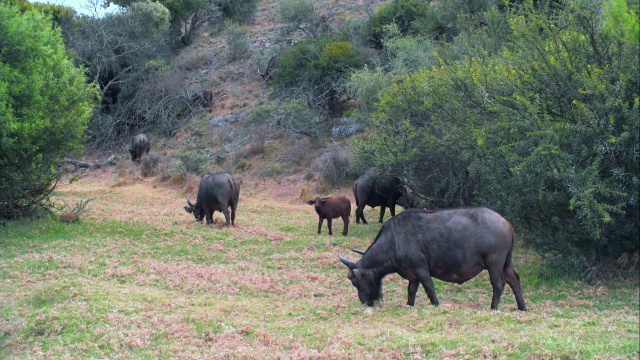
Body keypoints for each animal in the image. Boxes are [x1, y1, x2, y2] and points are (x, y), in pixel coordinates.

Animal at [340, 207, 524, 310]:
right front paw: (409, 305)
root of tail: (506, 223)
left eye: (355, 282)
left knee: (499, 283)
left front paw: (435, 304)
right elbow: (411, 291)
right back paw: (522, 307)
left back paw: (493, 307)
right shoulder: (412, 274)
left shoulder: (421, 269)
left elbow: (429, 288)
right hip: (507, 263)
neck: (393, 240)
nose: (364, 302)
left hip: (494, 263)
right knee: (514, 280)